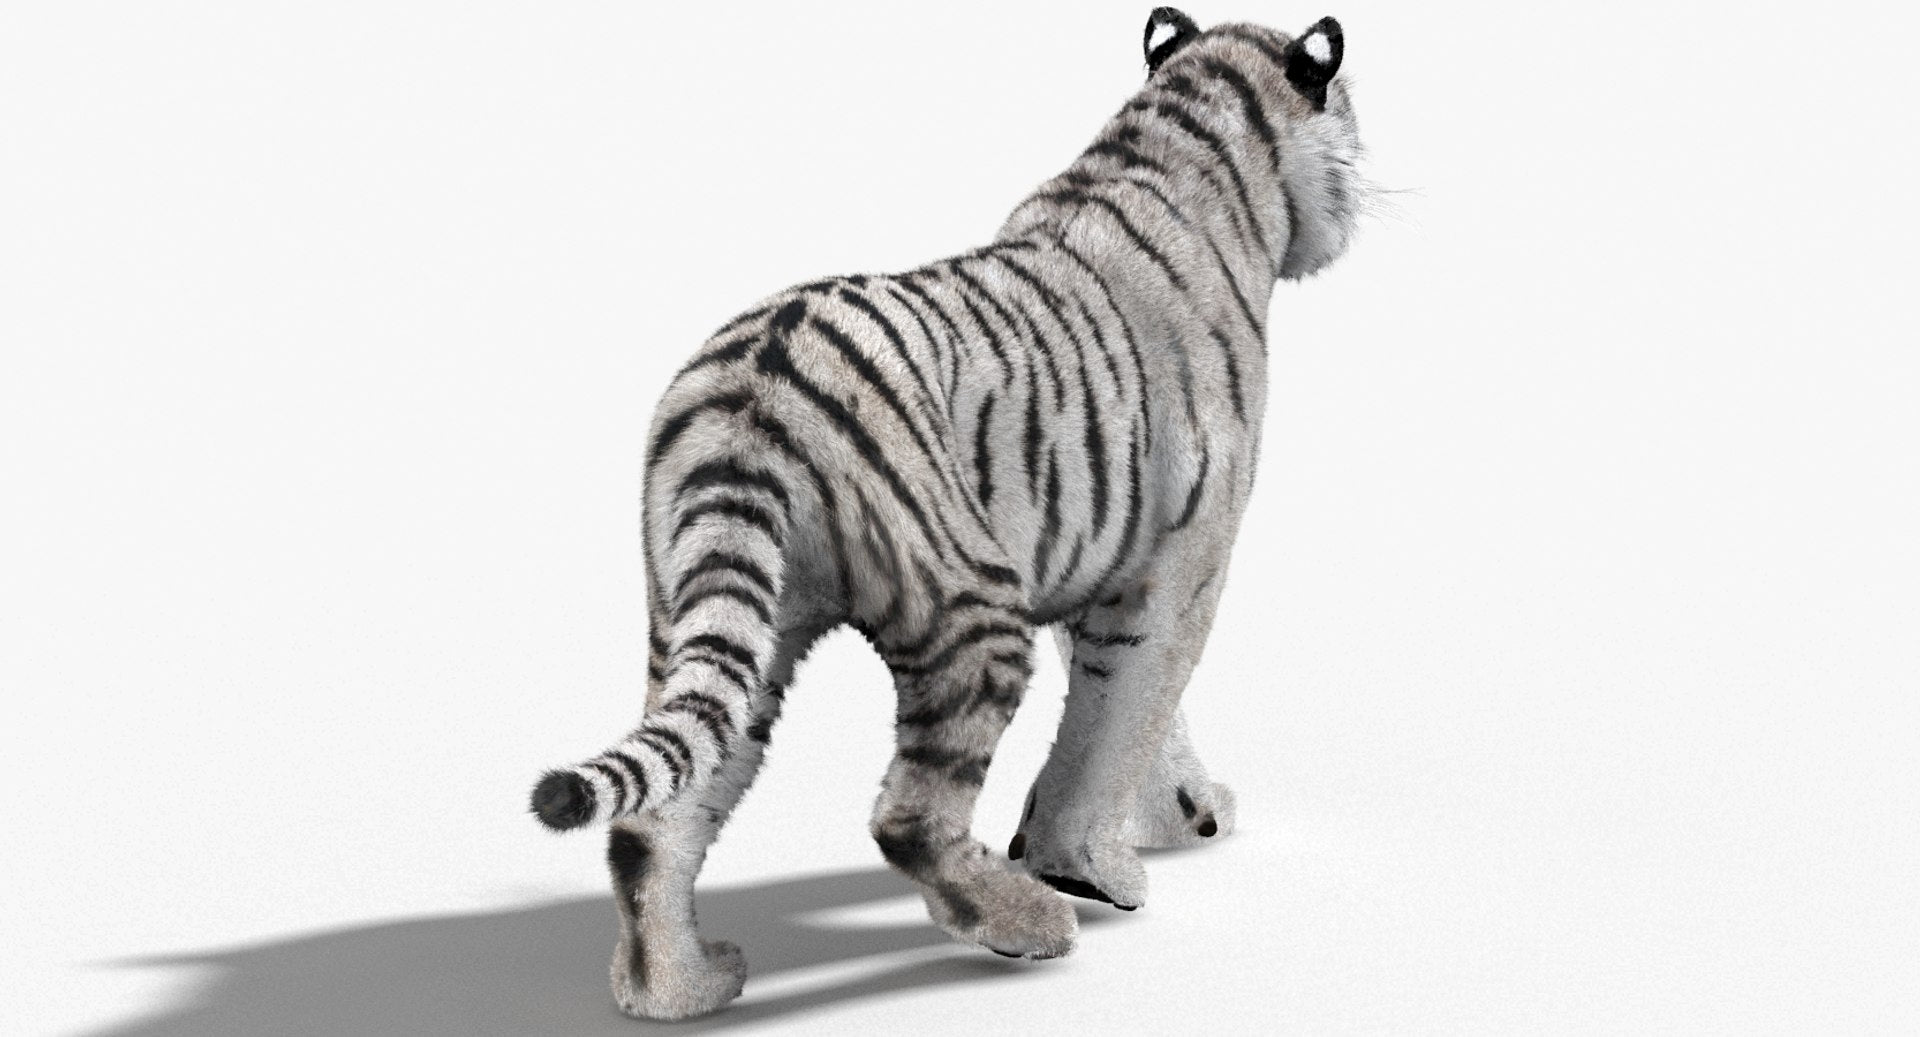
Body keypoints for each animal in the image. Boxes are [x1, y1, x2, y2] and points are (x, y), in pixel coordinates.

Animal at [529, 7, 1365, 1019]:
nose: (1359, 187)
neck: (1186, 135)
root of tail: (752, 386)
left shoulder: (1093, 551)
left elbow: (1129, 714)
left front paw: (1178, 815)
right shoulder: (1177, 566)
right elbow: (1125, 715)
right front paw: (1091, 868)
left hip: (727, 620)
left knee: (657, 814)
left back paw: (679, 989)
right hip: (970, 609)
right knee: (907, 814)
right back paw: (1028, 921)